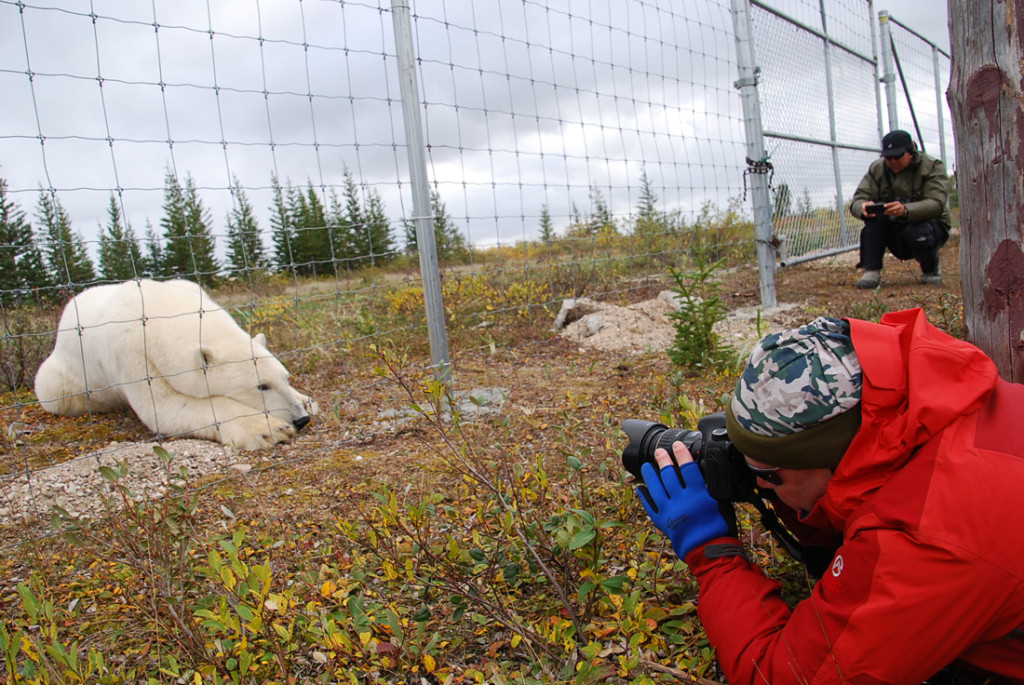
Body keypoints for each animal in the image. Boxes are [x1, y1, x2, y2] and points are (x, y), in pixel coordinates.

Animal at [35, 278, 315, 448]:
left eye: (286, 378)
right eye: (261, 386)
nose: (301, 420)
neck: (155, 305)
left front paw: (305, 400)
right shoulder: (132, 355)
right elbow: (164, 407)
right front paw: (271, 428)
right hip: (62, 381)